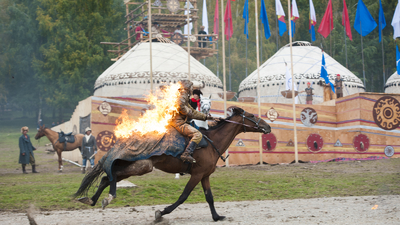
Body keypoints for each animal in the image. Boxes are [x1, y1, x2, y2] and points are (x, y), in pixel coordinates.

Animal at [73, 107, 270, 221]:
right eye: (252, 115)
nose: (267, 126)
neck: (211, 142)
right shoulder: (197, 175)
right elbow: (184, 196)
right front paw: (161, 213)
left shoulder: (205, 175)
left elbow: (209, 197)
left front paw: (216, 216)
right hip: (142, 166)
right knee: (111, 175)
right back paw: (108, 197)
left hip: (134, 166)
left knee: (107, 177)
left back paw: (92, 199)